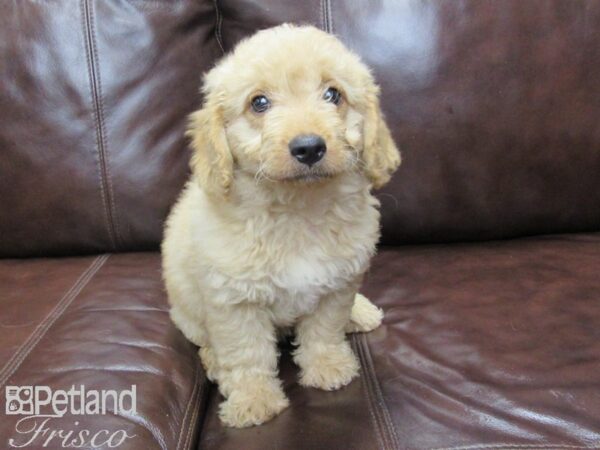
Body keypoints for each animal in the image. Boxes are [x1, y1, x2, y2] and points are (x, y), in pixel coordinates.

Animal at [162, 25, 400, 428]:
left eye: (332, 95)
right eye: (259, 103)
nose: (309, 148)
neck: (296, 210)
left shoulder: (338, 284)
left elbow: (325, 329)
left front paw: (328, 367)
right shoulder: (233, 301)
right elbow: (246, 352)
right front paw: (253, 400)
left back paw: (361, 312)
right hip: (187, 310)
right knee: (204, 339)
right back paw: (214, 363)